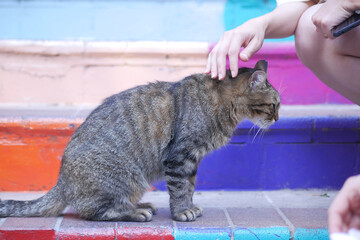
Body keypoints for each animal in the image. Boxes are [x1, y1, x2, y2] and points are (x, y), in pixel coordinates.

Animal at [0, 59, 282, 221]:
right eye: (274, 105)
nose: (278, 118)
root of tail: (62, 182)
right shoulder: (180, 157)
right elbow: (180, 188)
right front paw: (182, 211)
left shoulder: (192, 161)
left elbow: (190, 186)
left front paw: (189, 205)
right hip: (125, 175)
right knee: (96, 212)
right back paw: (136, 211)